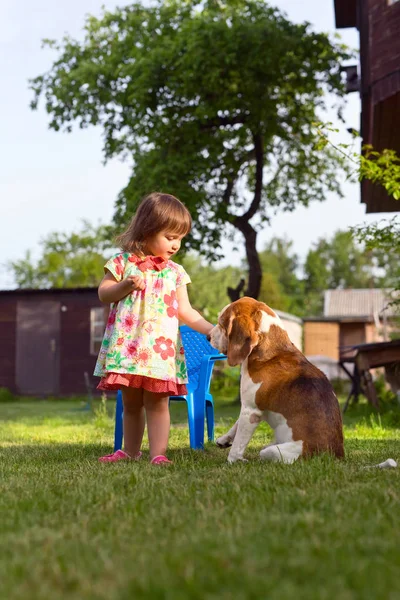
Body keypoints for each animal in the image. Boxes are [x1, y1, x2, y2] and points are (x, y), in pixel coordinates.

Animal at [209, 298, 344, 464]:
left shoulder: (250, 411)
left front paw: (233, 460)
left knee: (264, 453)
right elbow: (236, 425)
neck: (269, 351)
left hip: (273, 451)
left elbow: (239, 442)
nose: (208, 336)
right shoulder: (247, 407)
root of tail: (336, 455)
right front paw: (225, 439)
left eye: (222, 323)